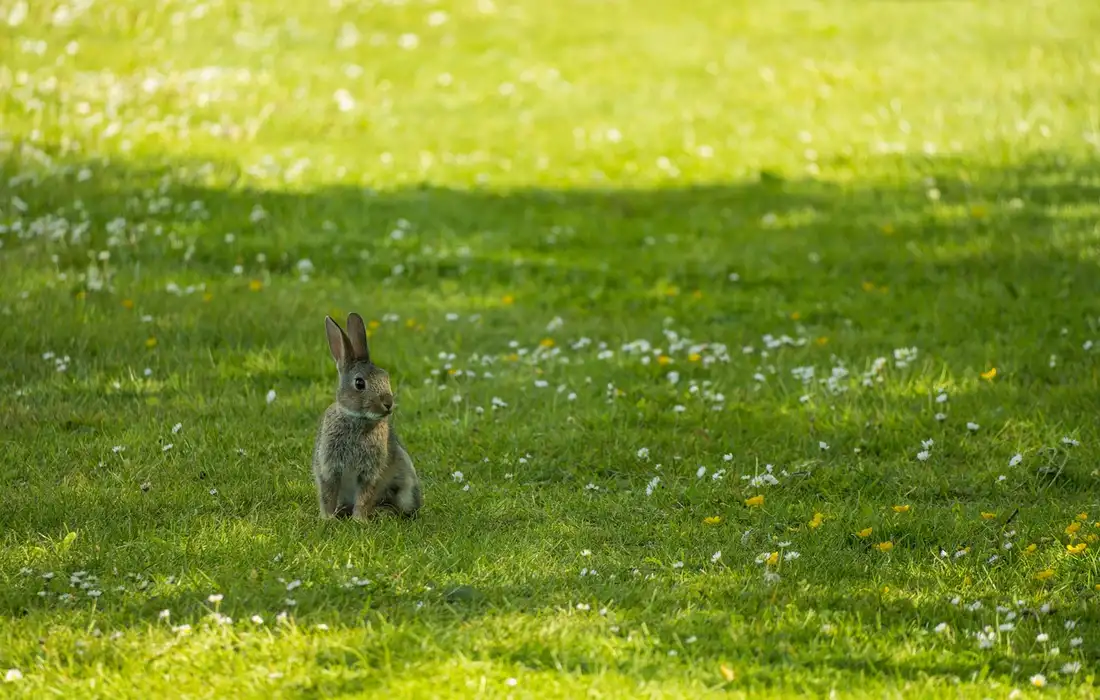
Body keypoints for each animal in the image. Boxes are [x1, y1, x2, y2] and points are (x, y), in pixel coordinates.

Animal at [311, 312, 422, 520]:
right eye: (359, 383)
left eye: (386, 377)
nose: (388, 403)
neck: (357, 419)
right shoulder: (329, 467)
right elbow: (328, 494)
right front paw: (328, 518)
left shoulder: (369, 473)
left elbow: (365, 496)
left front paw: (359, 520)